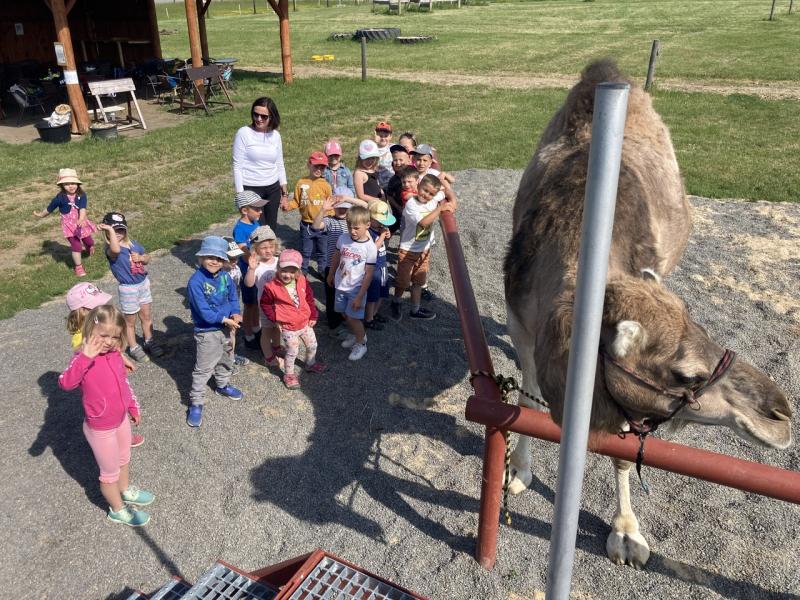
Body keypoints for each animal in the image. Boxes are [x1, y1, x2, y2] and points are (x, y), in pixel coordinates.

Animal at [503, 60, 793, 568]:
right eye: (685, 374)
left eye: (705, 329)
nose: (780, 414)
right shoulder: (523, 324)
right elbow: (528, 400)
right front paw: (518, 470)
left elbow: (622, 449)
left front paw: (626, 533)